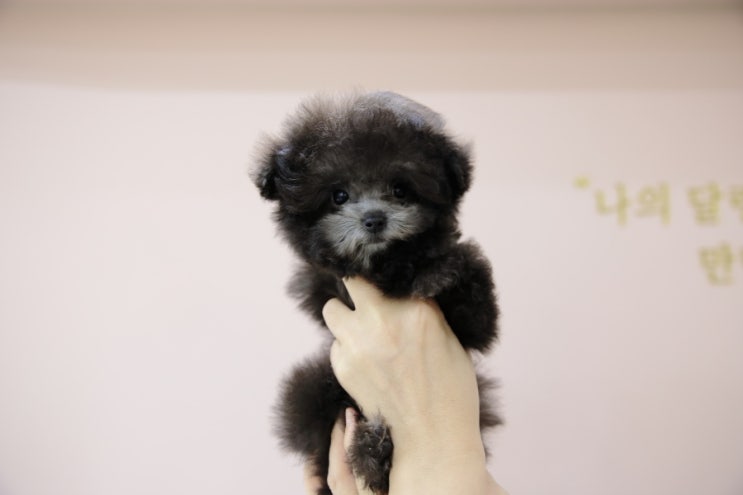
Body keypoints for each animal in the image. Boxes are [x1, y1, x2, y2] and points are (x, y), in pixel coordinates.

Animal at [253, 91, 500, 494]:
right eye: (338, 195)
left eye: (400, 189)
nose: (373, 219)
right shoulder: (324, 289)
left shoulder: (474, 327)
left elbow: (474, 295)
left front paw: (438, 270)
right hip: (316, 384)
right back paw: (373, 451)